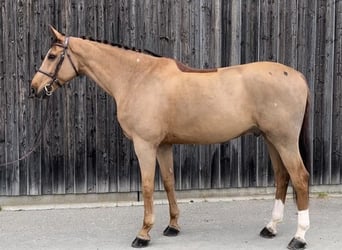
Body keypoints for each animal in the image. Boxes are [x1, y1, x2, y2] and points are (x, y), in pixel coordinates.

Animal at [31, 26, 310, 249]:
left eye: (52, 56)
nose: (35, 88)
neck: (137, 77)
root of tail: (298, 76)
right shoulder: (164, 145)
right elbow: (168, 182)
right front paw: (173, 226)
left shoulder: (144, 144)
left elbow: (146, 186)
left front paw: (143, 234)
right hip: (271, 139)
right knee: (282, 177)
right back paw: (271, 227)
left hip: (284, 141)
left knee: (300, 179)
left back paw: (298, 237)